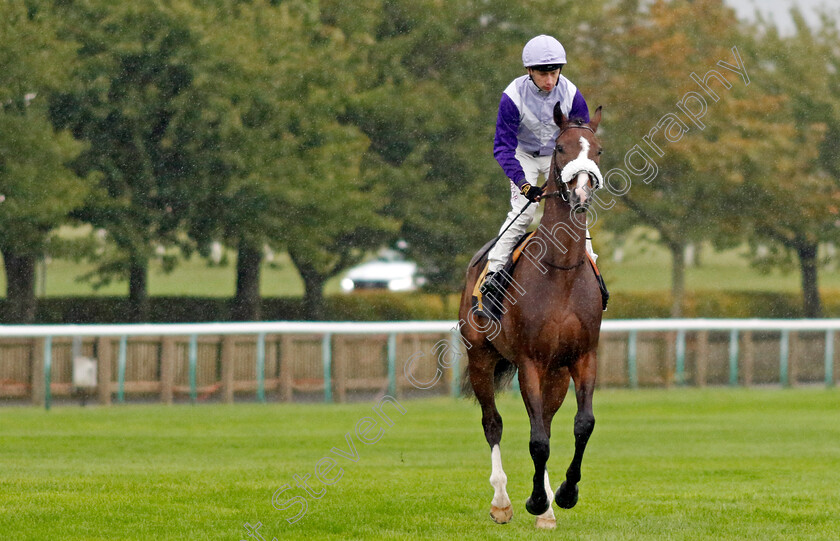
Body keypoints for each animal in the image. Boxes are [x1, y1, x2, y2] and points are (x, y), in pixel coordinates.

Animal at [460, 102, 604, 528]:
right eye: (560, 148)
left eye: (598, 150)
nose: (581, 191)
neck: (562, 271)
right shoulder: (529, 361)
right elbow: (537, 440)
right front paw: (536, 501)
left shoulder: (582, 357)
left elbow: (581, 425)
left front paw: (563, 495)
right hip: (481, 357)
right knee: (493, 423)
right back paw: (502, 502)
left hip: (555, 373)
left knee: (549, 422)